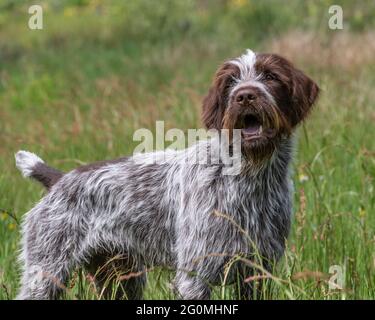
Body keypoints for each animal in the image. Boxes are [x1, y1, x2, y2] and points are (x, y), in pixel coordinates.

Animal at [15, 48, 320, 298]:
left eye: (270, 76)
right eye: (230, 83)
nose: (244, 96)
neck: (250, 175)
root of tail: (60, 180)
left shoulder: (258, 271)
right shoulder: (194, 277)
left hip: (120, 279)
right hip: (46, 275)